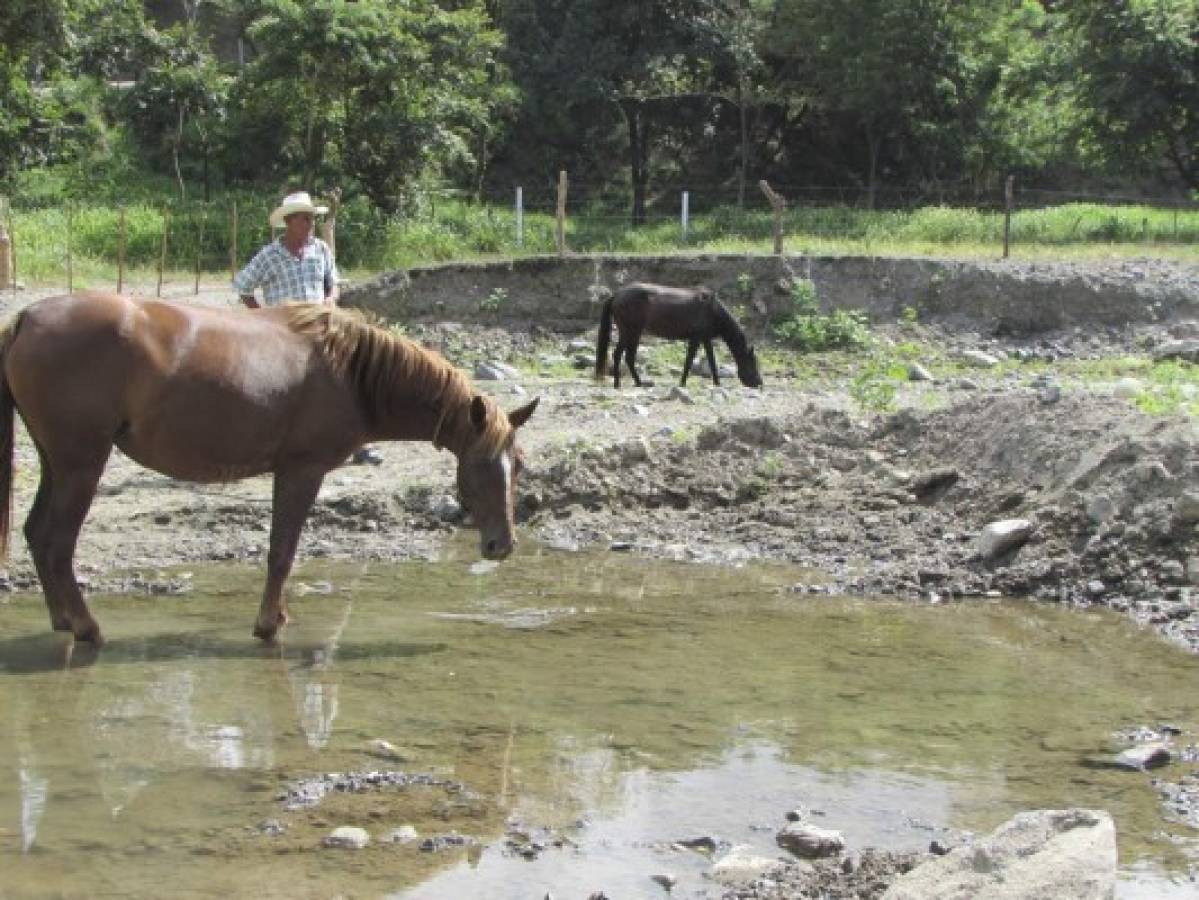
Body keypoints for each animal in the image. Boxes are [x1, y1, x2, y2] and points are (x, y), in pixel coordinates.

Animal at [0, 296, 539, 647]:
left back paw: (63, 622)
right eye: (480, 465)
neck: (349, 372)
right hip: (81, 464)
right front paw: (267, 625)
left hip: (56, 462)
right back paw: (87, 629)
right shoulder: (301, 471)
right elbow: (282, 553)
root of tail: (26, 317)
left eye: (518, 466)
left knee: (37, 536)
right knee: (57, 544)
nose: (502, 545)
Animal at [594, 282, 762, 388]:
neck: (712, 309)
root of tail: (616, 295)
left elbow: (712, 361)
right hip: (630, 331)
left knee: (628, 358)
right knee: (618, 355)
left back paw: (637, 382)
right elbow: (689, 360)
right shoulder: (695, 338)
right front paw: (682, 382)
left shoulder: (705, 339)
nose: (759, 383)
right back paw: (618, 383)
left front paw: (717, 383)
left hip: (634, 333)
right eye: (753, 363)